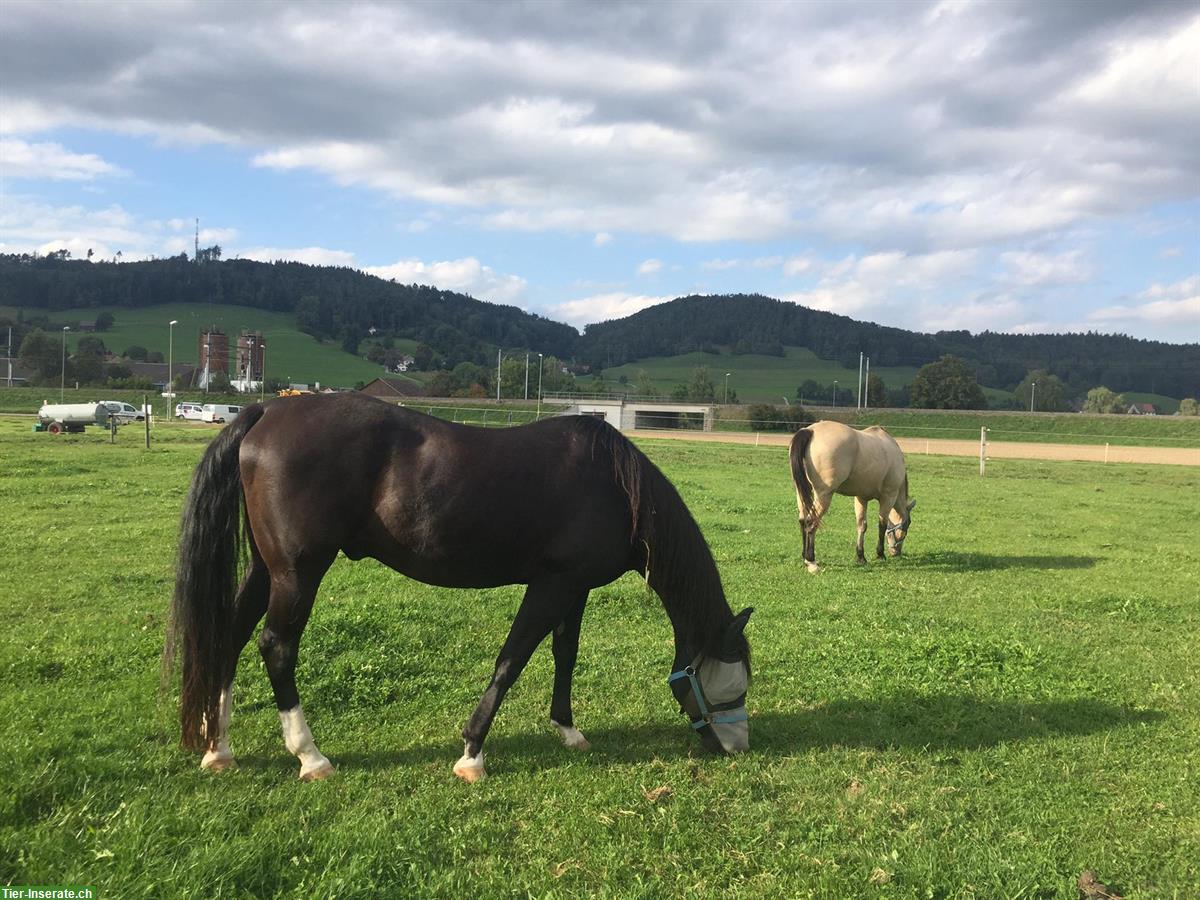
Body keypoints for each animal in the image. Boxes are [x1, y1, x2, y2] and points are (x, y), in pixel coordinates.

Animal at [165, 393, 753, 782]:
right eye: (736, 687)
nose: (738, 747)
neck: (614, 486)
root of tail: (268, 411)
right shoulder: (551, 585)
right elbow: (512, 659)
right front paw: (472, 753)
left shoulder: (576, 588)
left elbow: (565, 654)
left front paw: (567, 730)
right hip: (299, 571)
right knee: (277, 647)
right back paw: (310, 756)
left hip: (269, 569)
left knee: (229, 636)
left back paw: (218, 748)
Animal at [792, 422, 912, 573]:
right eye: (906, 529)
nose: (896, 553)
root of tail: (810, 430)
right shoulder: (888, 496)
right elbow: (882, 525)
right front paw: (880, 554)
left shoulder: (861, 498)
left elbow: (861, 525)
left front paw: (861, 556)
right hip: (824, 495)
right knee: (811, 522)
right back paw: (811, 561)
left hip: (801, 491)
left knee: (802, 520)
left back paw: (804, 558)